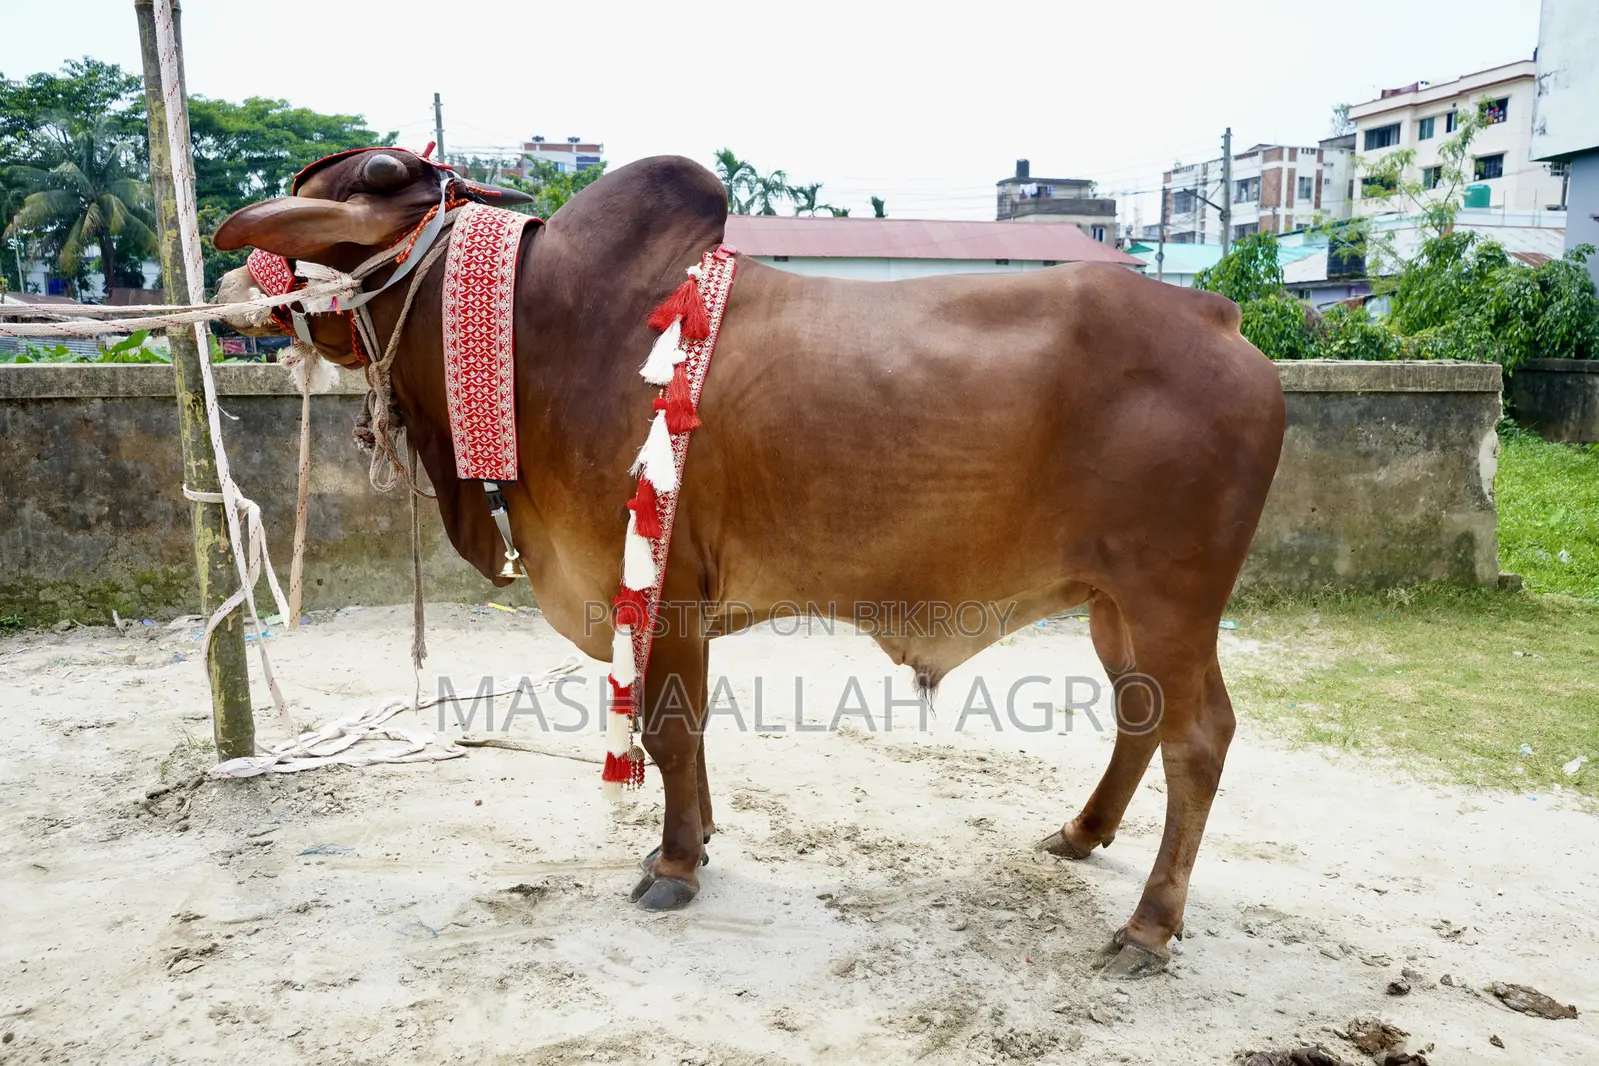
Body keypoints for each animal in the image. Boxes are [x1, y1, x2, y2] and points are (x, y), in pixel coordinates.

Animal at [213, 148, 1285, 978]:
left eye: (344, 191)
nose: (224, 291)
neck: (537, 330)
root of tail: (1222, 320)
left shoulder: (663, 590)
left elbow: (669, 732)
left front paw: (673, 865)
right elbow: (679, 738)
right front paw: (697, 839)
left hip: (1169, 596)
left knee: (1198, 741)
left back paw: (1148, 927)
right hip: (1114, 602)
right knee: (1145, 714)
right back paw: (1079, 834)